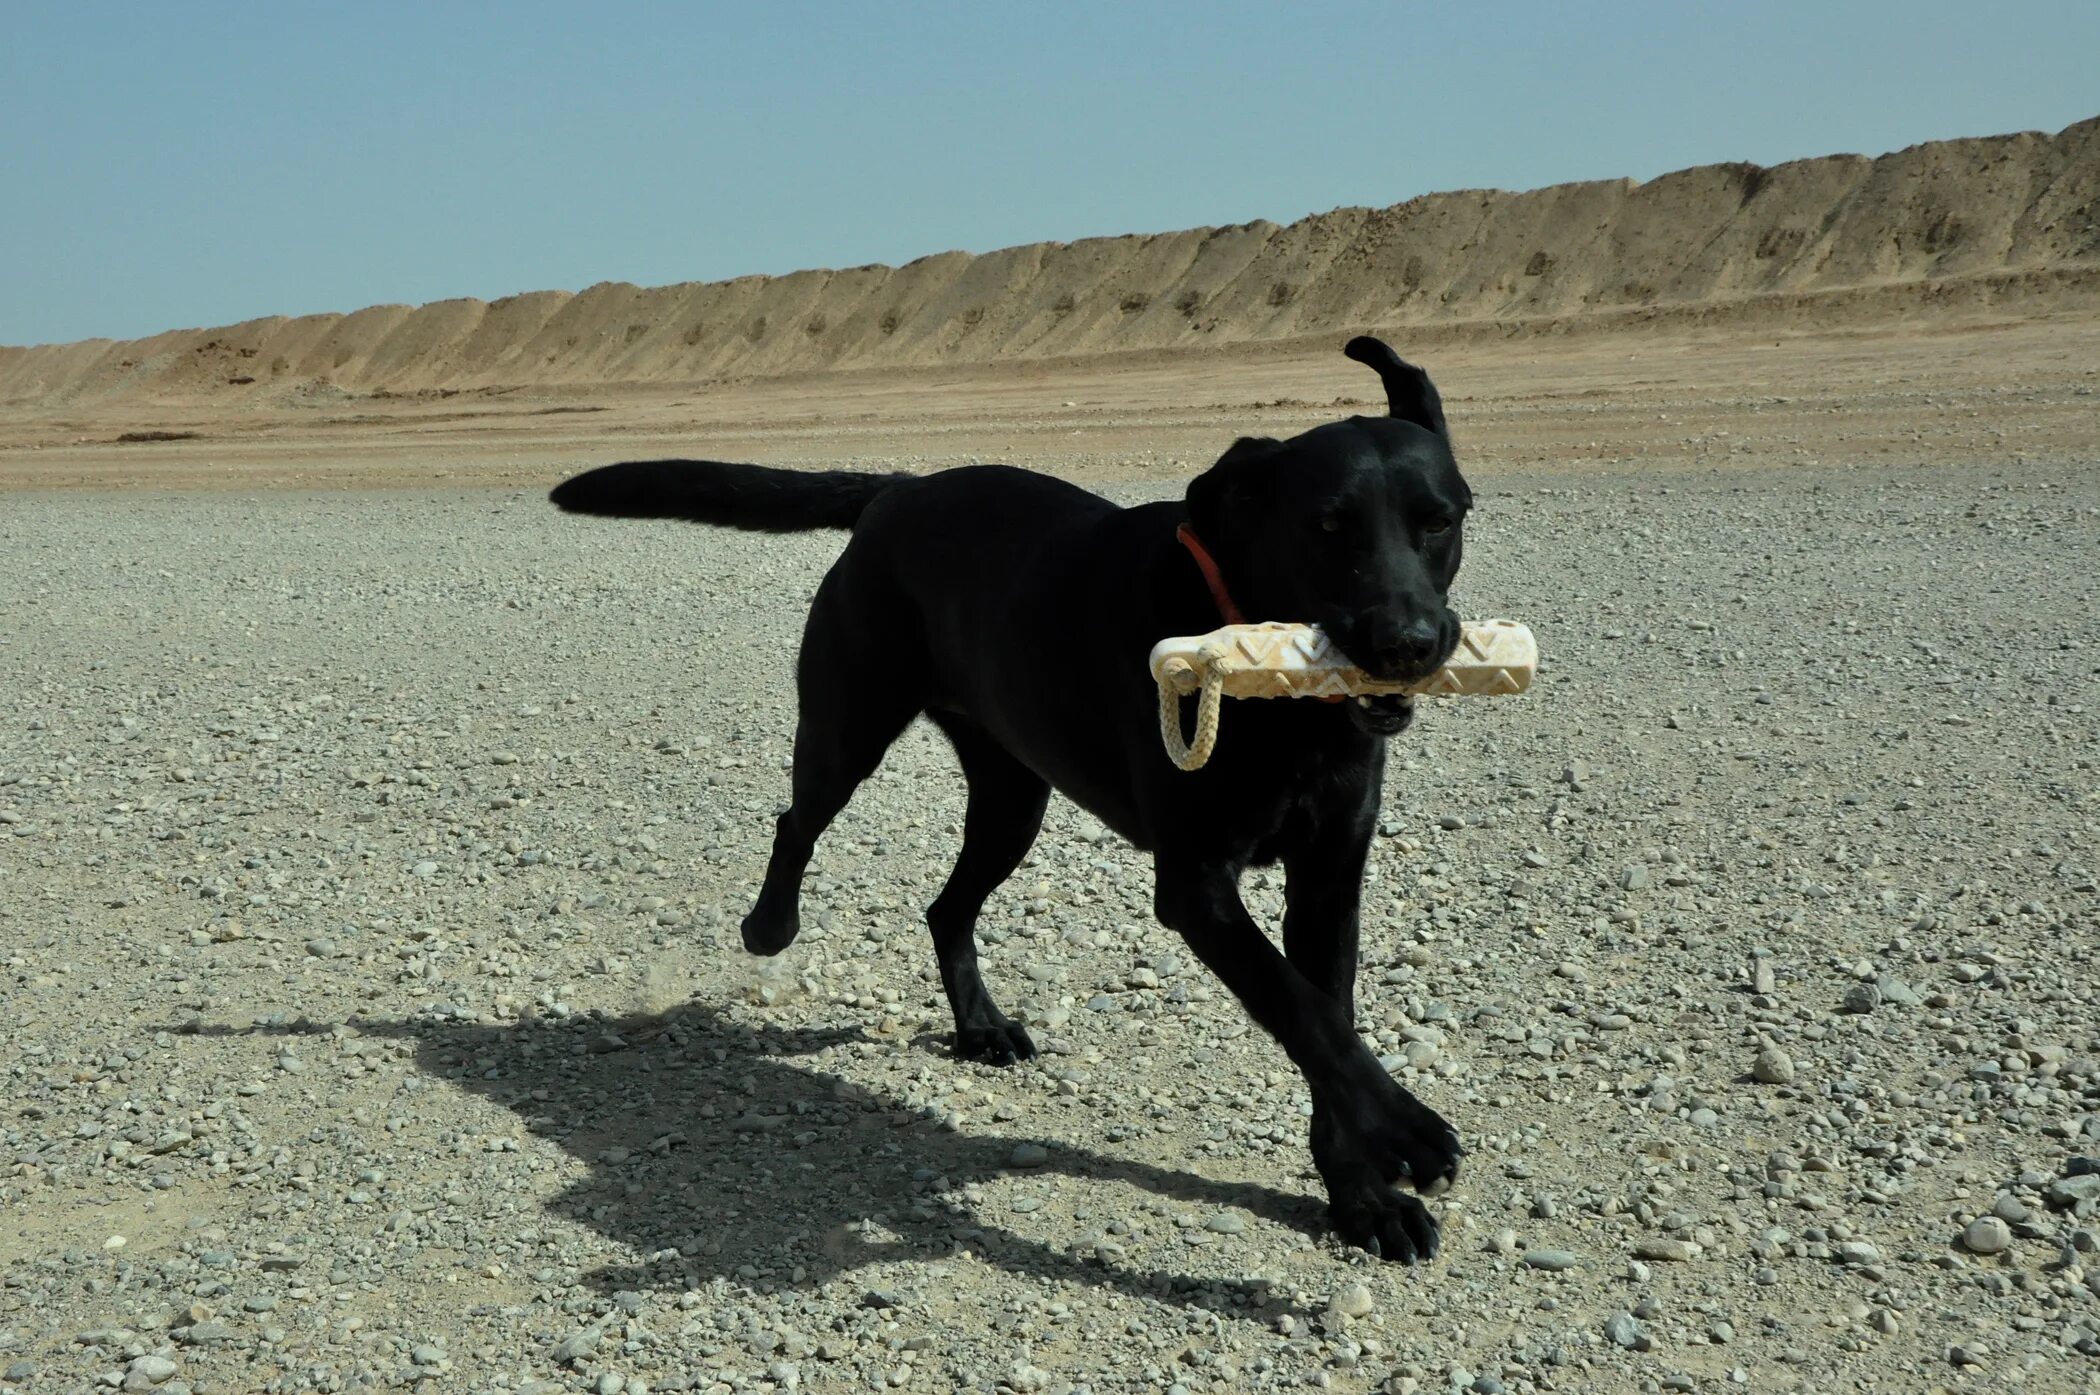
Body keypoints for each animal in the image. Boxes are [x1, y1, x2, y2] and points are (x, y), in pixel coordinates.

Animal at [558, 338, 1478, 1260]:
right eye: (1327, 526)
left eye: (1441, 520)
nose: (1408, 642)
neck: (1280, 696)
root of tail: (899, 490)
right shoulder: (1196, 883)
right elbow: (1304, 1011)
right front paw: (1409, 1129)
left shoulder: (1327, 880)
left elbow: (1326, 1020)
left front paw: (1362, 1195)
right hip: (849, 724)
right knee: (799, 820)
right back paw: (769, 924)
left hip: (1012, 797)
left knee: (946, 907)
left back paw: (980, 1026)